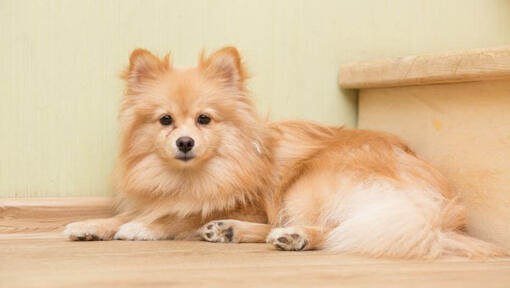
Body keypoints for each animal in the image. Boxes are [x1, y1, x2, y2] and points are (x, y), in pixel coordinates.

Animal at [65, 46, 504, 258]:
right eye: (165, 121)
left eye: (204, 120)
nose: (184, 142)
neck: (192, 178)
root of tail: (439, 208)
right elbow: (133, 212)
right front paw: (91, 224)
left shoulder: (249, 205)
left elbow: (176, 217)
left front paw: (141, 228)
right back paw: (228, 231)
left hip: (308, 183)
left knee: (339, 230)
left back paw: (294, 237)